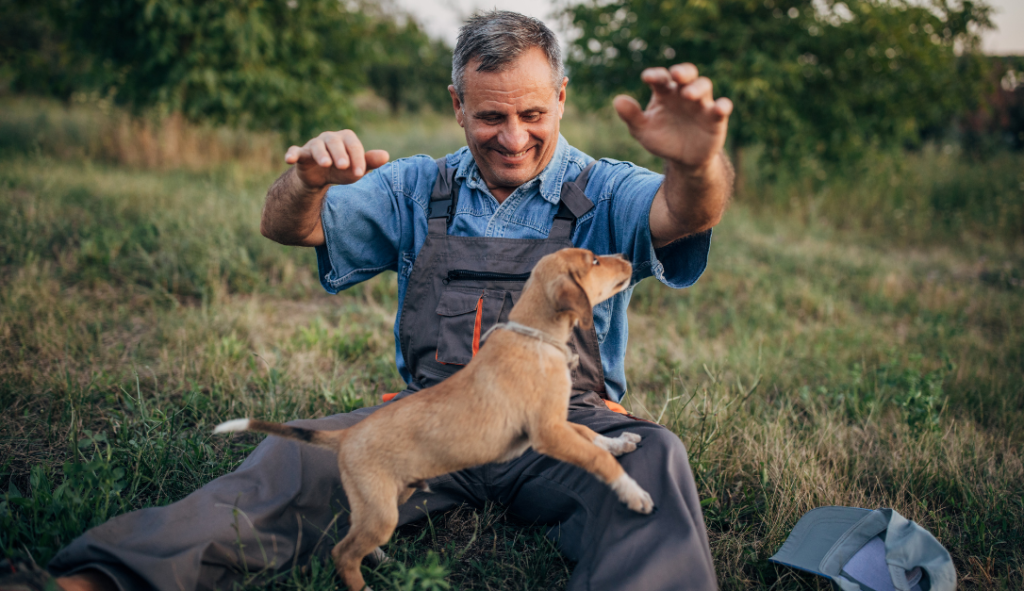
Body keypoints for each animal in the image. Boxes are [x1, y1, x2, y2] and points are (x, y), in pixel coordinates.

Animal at [214, 248, 655, 589]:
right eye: (595, 261)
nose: (628, 257)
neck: (535, 338)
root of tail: (346, 436)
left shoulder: (557, 424)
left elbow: (588, 435)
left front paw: (620, 442)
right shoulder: (547, 432)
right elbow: (594, 457)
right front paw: (633, 493)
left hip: (386, 501)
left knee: (354, 539)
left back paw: (383, 560)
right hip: (383, 509)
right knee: (342, 553)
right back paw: (365, 586)